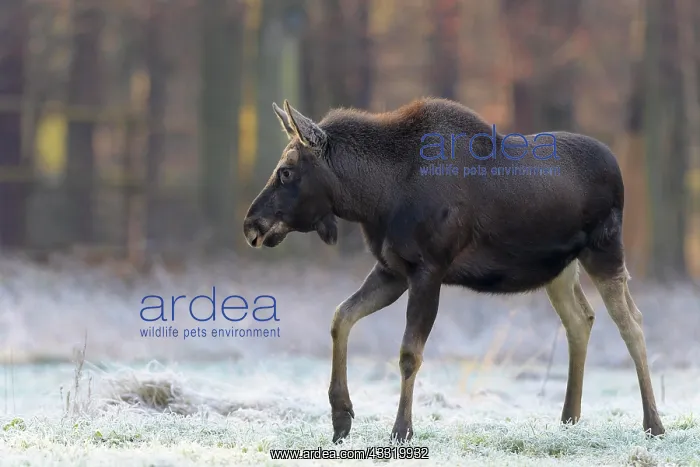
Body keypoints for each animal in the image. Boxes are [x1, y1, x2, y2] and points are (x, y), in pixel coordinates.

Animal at [242, 97, 665, 443]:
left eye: (286, 170)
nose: (251, 225)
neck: (375, 199)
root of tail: (617, 168)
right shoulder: (392, 269)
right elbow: (340, 317)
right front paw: (341, 416)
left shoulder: (429, 268)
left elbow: (409, 353)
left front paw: (401, 430)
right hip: (559, 270)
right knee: (582, 319)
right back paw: (569, 418)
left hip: (605, 250)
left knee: (632, 322)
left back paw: (653, 424)